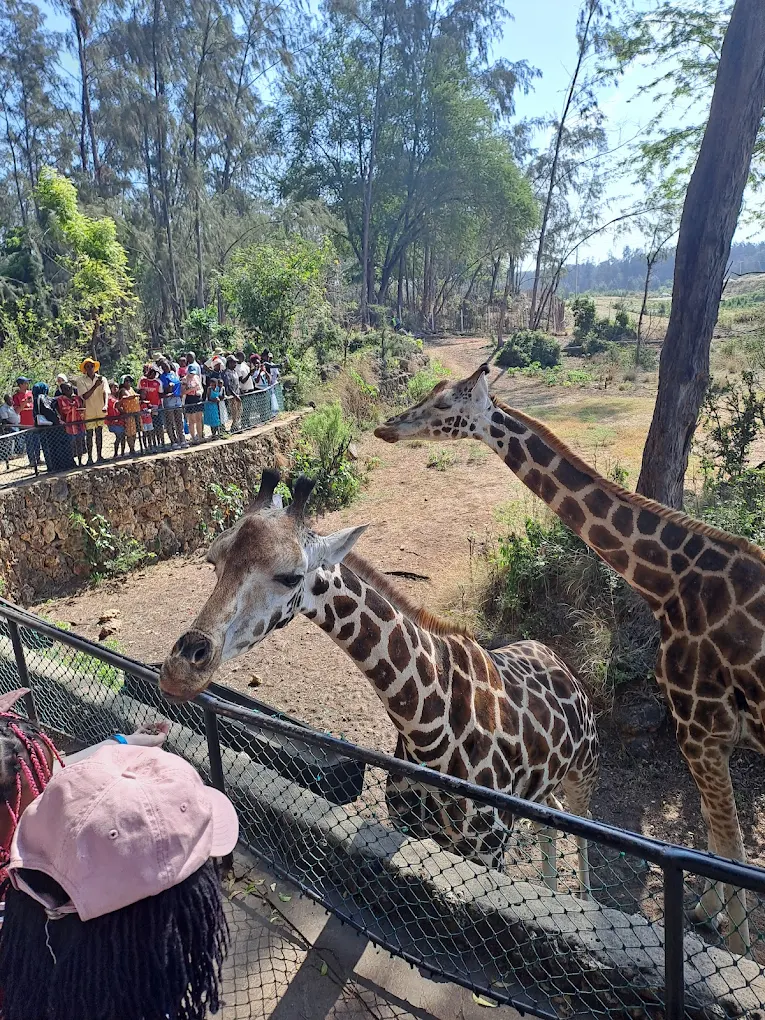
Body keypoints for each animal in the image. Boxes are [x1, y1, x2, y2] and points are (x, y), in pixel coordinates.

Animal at [161, 469, 598, 894]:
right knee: (549, 819)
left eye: (291, 577)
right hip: (543, 786)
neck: (428, 732)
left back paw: (586, 901)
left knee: (581, 826)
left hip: (583, 771)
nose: (179, 671)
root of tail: (558, 659)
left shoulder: (487, 851)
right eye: (213, 560)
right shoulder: (409, 827)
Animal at [376, 362, 765, 955]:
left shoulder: (703, 728)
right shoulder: (710, 735)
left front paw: (735, 947)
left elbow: (730, 842)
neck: (672, 580)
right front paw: (709, 915)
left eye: (444, 405)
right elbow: (719, 834)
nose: (387, 428)